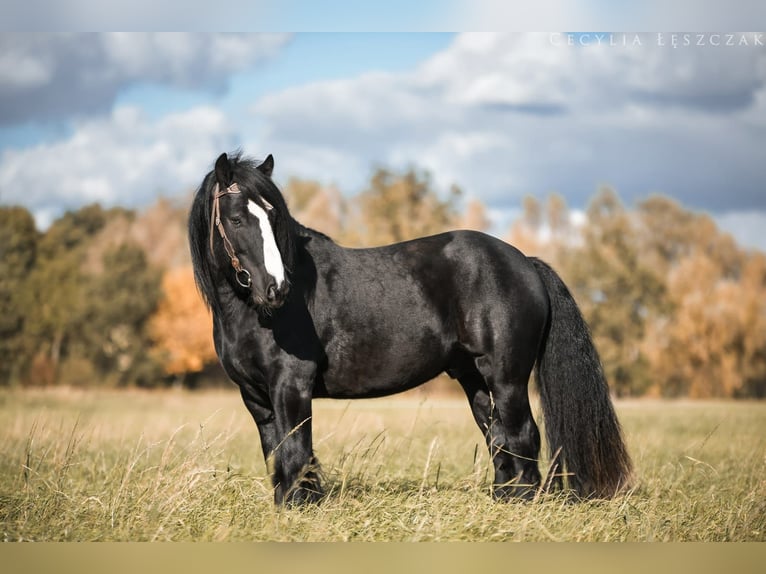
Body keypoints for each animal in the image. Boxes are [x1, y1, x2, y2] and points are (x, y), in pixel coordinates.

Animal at [189, 153, 632, 508]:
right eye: (236, 218)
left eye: (273, 216)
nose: (276, 288)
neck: (255, 313)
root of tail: (524, 262)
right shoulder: (255, 397)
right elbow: (276, 450)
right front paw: (285, 506)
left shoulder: (290, 386)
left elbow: (297, 449)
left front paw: (301, 507)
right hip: (473, 378)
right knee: (498, 436)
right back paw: (502, 497)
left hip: (506, 377)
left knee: (522, 434)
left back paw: (523, 502)